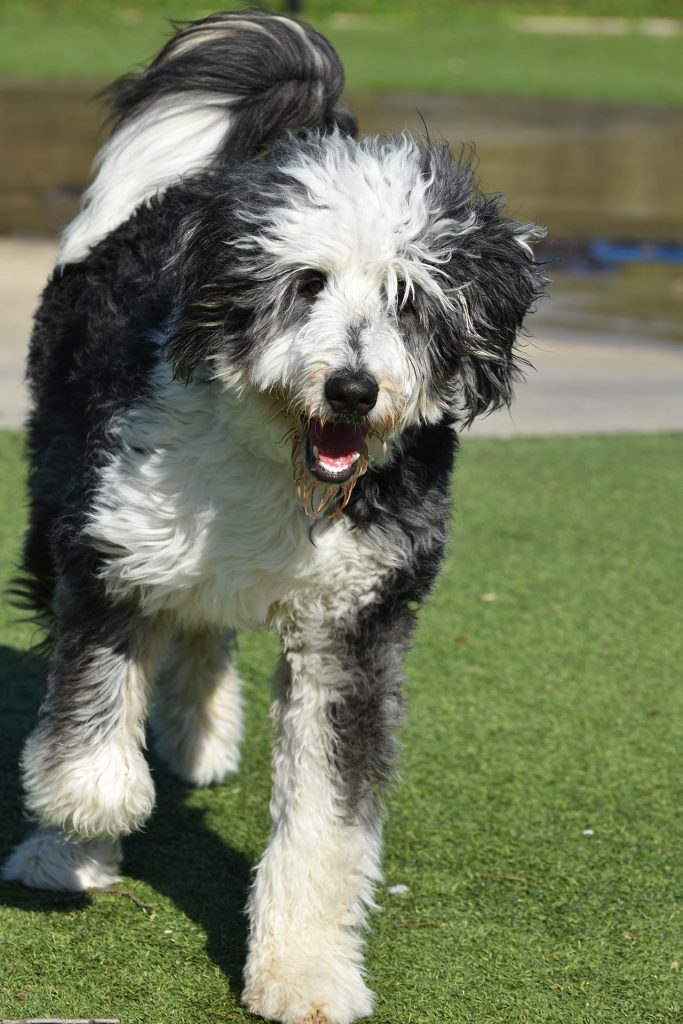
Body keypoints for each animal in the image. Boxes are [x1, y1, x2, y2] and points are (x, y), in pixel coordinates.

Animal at [1, 14, 544, 1024]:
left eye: (409, 297)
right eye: (307, 283)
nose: (353, 389)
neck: (276, 460)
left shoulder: (353, 629)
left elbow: (325, 825)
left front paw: (304, 971)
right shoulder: (107, 545)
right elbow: (90, 705)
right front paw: (91, 809)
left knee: (202, 624)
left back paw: (202, 735)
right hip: (62, 485)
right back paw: (64, 854)